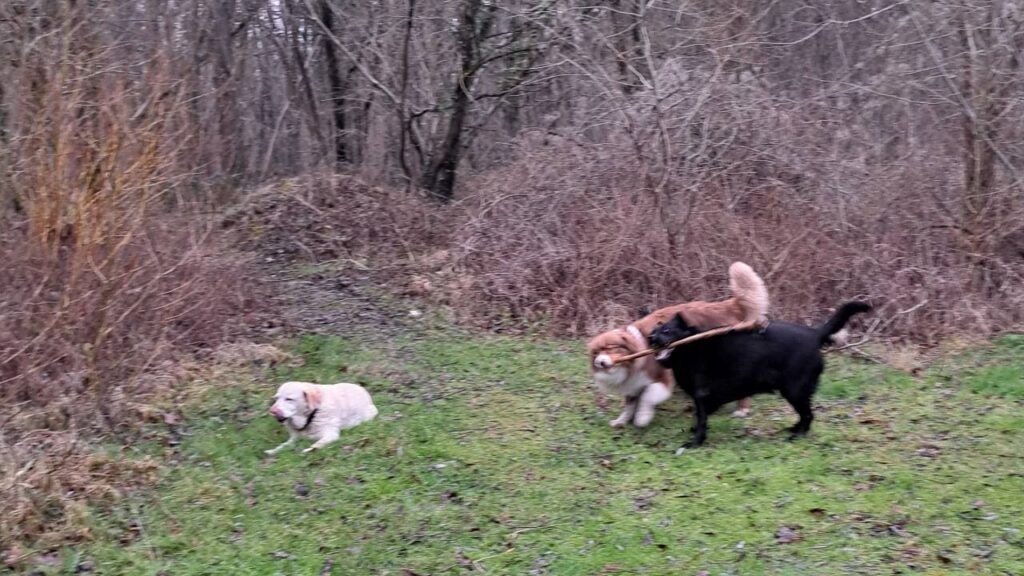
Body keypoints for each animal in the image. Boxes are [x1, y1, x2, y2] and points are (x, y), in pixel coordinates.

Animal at [585, 260, 770, 426]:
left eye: (610, 347)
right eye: (596, 352)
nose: (600, 362)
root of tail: (728, 305)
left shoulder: (662, 377)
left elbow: (647, 396)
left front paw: (642, 417)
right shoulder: (633, 385)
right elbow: (629, 406)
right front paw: (621, 421)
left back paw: (742, 409)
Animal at [651, 303, 868, 446]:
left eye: (667, 330)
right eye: (653, 330)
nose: (651, 337)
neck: (689, 348)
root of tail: (814, 334)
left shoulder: (702, 395)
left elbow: (702, 420)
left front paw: (695, 442)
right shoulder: (706, 400)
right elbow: (699, 417)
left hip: (794, 390)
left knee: (808, 415)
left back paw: (797, 436)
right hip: (794, 392)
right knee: (805, 414)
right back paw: (794, 429)